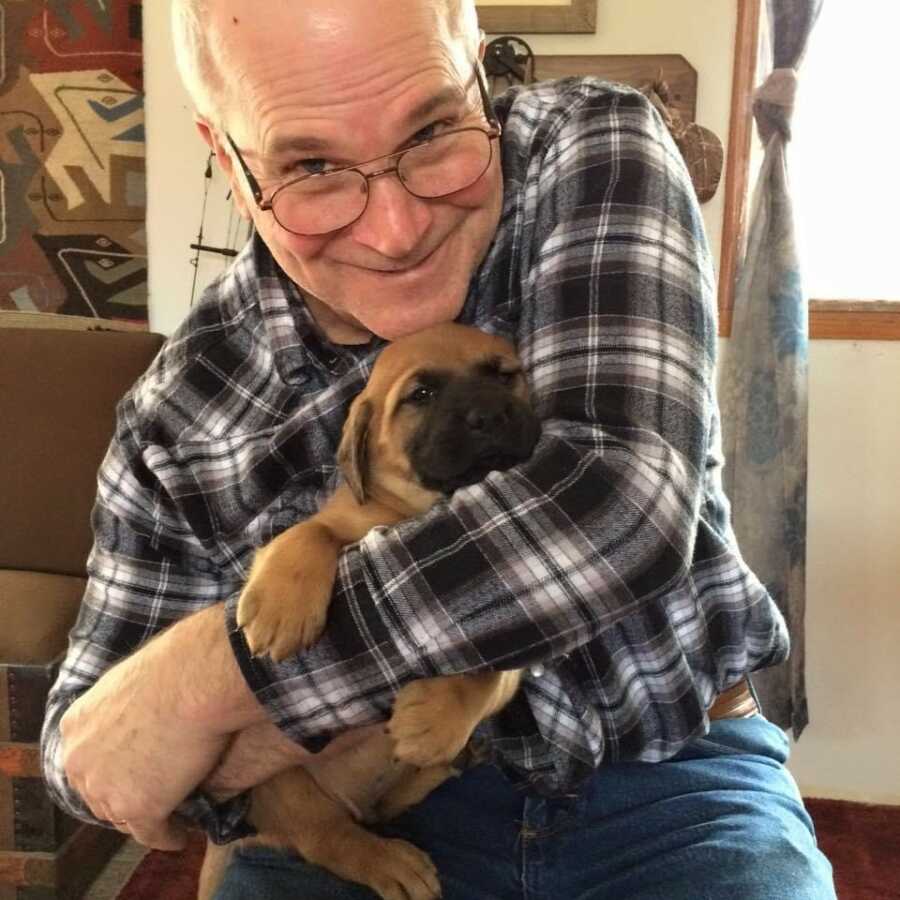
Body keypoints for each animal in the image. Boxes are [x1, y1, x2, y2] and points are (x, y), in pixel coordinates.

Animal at [200, 326, 536, 900]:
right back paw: (391, 863)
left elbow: (492, 668)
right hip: (284, 784)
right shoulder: (336, 523)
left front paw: (436, 721)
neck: (419, 507)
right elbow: (309, 533)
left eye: (503, 374)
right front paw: (281, 608)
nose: (489, 416)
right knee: (329, 836)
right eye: (421, 394)